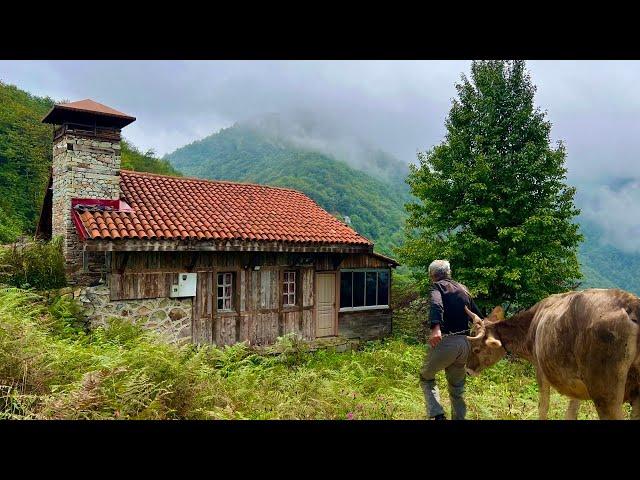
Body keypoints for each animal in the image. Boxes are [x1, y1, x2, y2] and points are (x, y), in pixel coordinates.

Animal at [464, 288, 640, 420]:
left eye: (476, 349)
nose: (468, 370)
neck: (531, 325)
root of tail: (631, 303)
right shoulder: (576, 383)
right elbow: (571, 413)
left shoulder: (540, 371)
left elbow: (543, 406)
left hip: (605, 393)